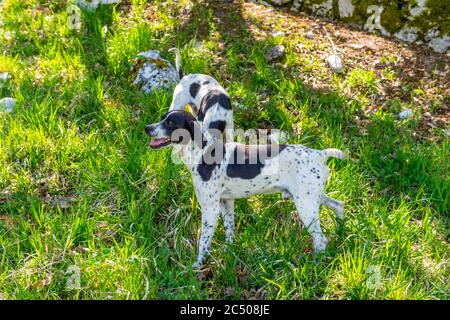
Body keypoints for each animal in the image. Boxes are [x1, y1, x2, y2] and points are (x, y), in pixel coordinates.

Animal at [146, 110, 346, 268]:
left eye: (170, 123)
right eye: (163, 118)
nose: (147, 128)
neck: (202, 152)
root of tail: (320, 154)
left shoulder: (210, 209)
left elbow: (204, 242)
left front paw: (198, 265)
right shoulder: (226, 202)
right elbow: (229, 231)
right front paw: (228, 251)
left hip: (306, 205)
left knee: (321, 240)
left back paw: (316, 264)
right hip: (313, 198)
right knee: (339, 205)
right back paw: (341, 231)